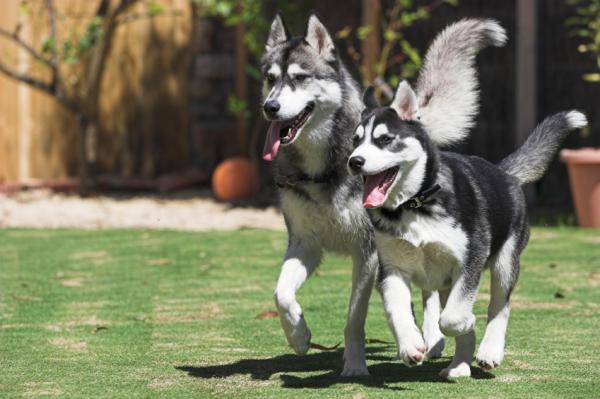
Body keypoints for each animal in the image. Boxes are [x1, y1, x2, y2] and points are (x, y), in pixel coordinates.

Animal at [262, 11, 506, 376]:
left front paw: (354, 366)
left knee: (431, 293)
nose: (270, 107)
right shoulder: (306, 244)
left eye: (300, 78)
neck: (324, 166)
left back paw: (433, 336)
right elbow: (281, 294)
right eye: (270, 78)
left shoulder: (368, 254)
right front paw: (299, 335)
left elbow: (354, 318)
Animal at [346, 82, 584, 378]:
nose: (354, 161)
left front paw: (466, 322)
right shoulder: (391, 268)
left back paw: (489, 350)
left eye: (385, 139)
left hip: (505, 263)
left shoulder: (470, 259)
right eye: (355, 140)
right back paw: (459, 366)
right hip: (446, 281)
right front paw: (410, 344)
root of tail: (503, 173)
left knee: (500, 306)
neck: (414, 205)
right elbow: (397, 310)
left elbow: (452, 318)